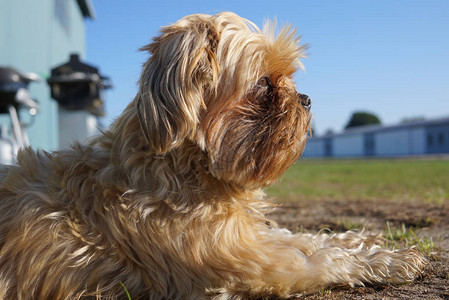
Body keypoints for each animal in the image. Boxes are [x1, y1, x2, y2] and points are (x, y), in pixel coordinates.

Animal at [0, 12, 424, 300]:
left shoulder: (247, 236)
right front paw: (386, 260)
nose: (305, 98)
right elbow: (321, 259)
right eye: (264, 84)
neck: (185, 169)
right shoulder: (252, 265)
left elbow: (307, 237)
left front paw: (367, 237)